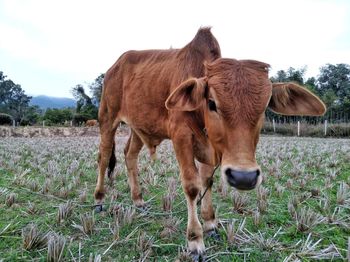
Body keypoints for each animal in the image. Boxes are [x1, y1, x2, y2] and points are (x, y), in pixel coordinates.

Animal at [93, 27, 326, 256]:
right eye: (212, 103)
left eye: (264, 108)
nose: (243, 177)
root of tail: (115, 66)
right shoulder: (181, 137)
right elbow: (192, 186)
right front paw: (195, 240)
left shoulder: (210, 147)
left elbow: (207, 181)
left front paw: (210, 223)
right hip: (107, 119)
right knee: (103, 157)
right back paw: (99, 199)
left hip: (138, 128)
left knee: (129, 155)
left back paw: (138, 199)